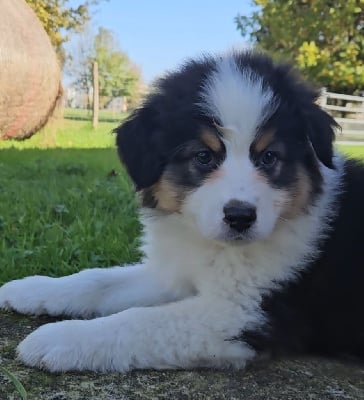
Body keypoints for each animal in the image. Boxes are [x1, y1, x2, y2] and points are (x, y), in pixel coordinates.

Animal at [0, 50, 364, 372]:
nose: (240, 217)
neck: (216, 248)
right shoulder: (176, 272)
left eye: (269, 157)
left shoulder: (243, 313)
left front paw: (57, 339)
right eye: (203, 156)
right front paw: (29, 289)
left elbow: (138, 321)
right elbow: (97, 280)